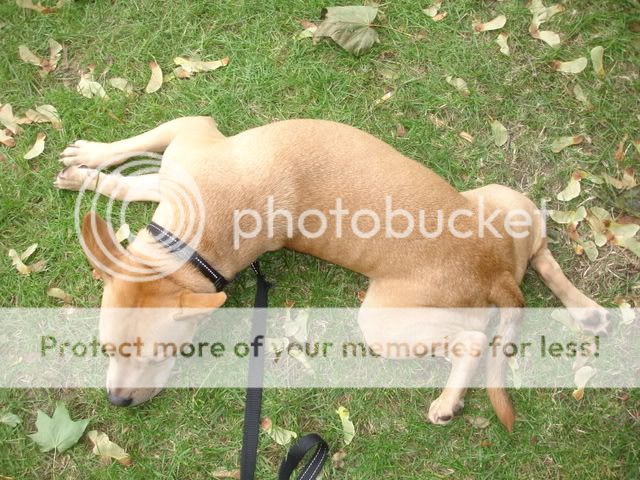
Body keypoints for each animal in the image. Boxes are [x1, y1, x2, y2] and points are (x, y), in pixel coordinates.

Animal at [53, 116, 604, 432]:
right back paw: (587, 310)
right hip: (506, 200)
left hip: (384, 323)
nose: (118, 401)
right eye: (105, 348)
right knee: (542, 255)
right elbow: (130, 185)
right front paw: (91, 171)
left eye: (163, 353)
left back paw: (448, 401)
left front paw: (92, 158)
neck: (187, 251)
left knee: (470, 340)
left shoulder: (192, 124)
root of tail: (495, 273)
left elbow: (138, 151)